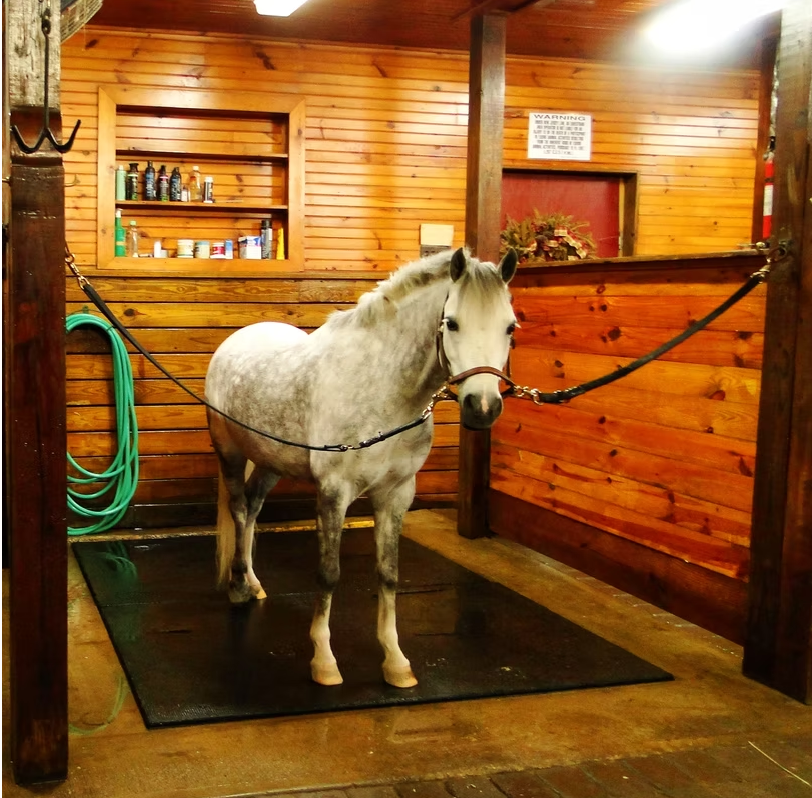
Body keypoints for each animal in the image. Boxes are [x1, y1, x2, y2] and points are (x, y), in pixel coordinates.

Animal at [205, 246, 518, 688]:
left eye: (510, 327)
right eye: (452, 322)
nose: (483, 407)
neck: (385, 392)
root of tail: (235, 341)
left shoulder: (397, 494)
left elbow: (388, 574)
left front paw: (395, 662)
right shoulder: (334, 492)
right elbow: (329, 573)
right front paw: (324, 661)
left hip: (270, 462)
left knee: (251, 510)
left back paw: (253, 583)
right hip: (229, 452)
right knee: (236, 509)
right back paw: (237, 588)